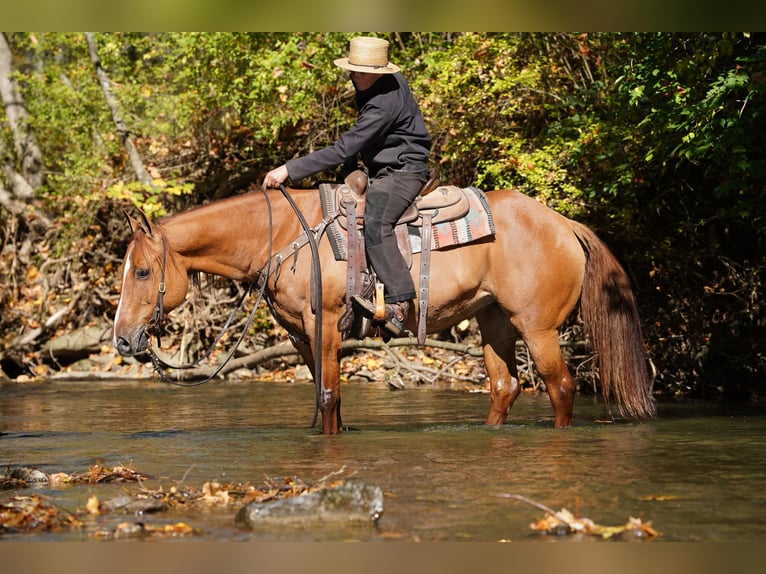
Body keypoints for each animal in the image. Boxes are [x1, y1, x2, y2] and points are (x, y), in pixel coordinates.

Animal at [112, 186, 655, 434]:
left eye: (141, 272)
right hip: (493, 320)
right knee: (505, 386)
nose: (121, 339)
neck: (285, 236)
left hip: (537, 327)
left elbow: (329, 393)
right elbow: (322, 396)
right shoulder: (300, 335)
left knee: (560, 386)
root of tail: (563, 222)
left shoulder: (326, 324)